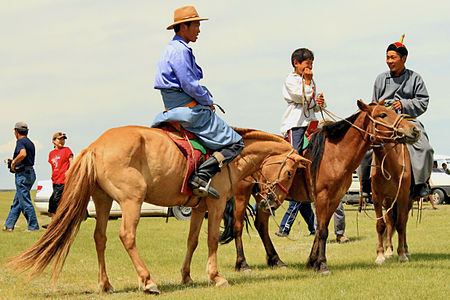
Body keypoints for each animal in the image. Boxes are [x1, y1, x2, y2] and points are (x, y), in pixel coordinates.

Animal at [7, 125, 310, 294]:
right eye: (290, 171)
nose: (271, 202)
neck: (229, 157)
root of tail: (95, 146)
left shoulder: (198, 208)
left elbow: (192, 241)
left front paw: (187, 276)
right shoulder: (215, 204)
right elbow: (212, 240)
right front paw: (216, 276)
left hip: (103, 201)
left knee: (100, 238)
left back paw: (106, 284)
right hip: (131, 201)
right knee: (126, 236)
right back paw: (148, 280)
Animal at [220, 99, 420, 274]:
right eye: (383, 114)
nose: (414, 130)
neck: (335, 155)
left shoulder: (334, 199)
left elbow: (320, 230)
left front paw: (312, 262)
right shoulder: (322, 196)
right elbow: (322, 231)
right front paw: (322, 264)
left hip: (264, 198)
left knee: (261, 225)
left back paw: (276, 260)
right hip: (242, 194)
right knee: (238, 226)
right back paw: (243, 264)